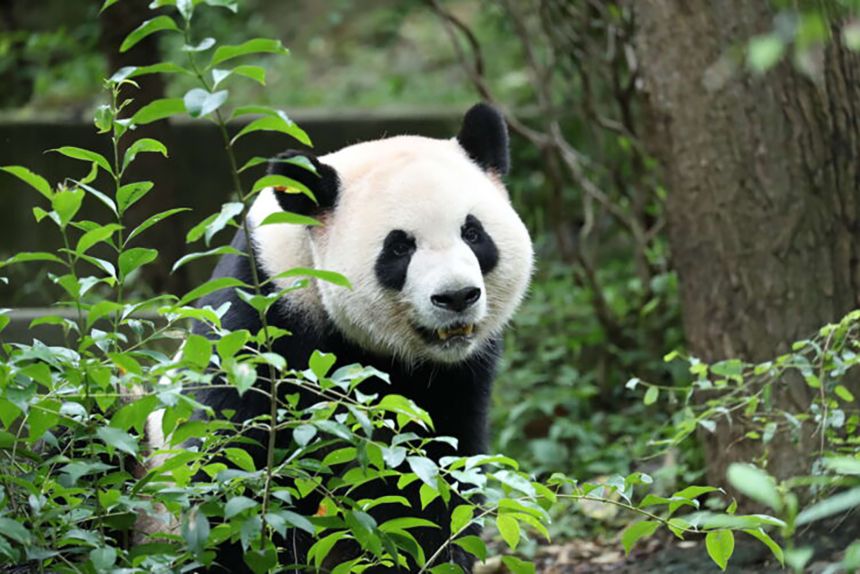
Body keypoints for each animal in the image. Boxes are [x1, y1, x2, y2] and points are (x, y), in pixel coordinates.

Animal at [145, 103, 533, 572]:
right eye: (399, 248)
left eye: (473, 234)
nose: (456, 296)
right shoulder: (261, 318)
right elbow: (229, 459)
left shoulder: (457, 376)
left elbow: (434, 473)